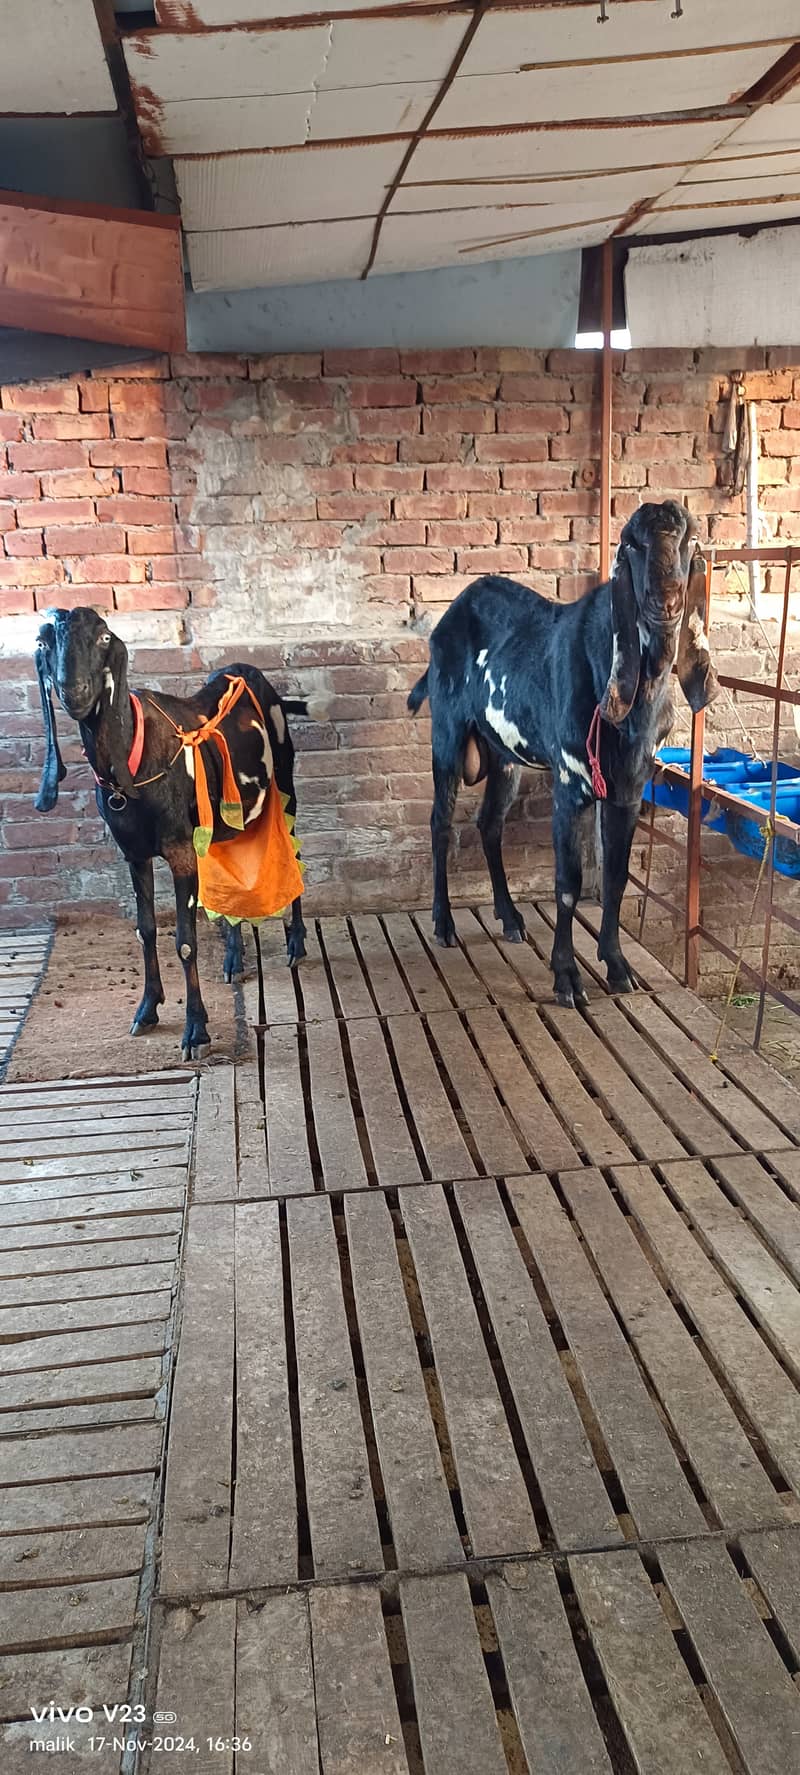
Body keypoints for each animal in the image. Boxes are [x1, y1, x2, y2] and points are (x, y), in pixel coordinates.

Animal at [35, 607, 315, 1050]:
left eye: (103, 637)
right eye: (44, 641)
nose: (73, 691)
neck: (134, 759)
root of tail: (244, 670)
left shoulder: (181, 850)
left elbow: (185, 941)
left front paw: (196, 1029)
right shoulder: (134, 854)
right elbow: (146, 930)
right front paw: (147, 1009)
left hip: (284, 782)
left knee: (296, 853)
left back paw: (297, 942)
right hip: (224, 823)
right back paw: (234, 958)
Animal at [413, 500, 720, 1008]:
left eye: (690, 537)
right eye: (631, 542)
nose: (665, 601)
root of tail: (452, 613)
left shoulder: (629, 789)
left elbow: (616, 877)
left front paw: (618, 967)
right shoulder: (571, 785)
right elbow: (569, 884)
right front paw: (567, 979)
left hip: (505, 756)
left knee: (489, 822)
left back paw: (510, 917)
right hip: (448, 734)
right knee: (441, 821)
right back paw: (444, 923)